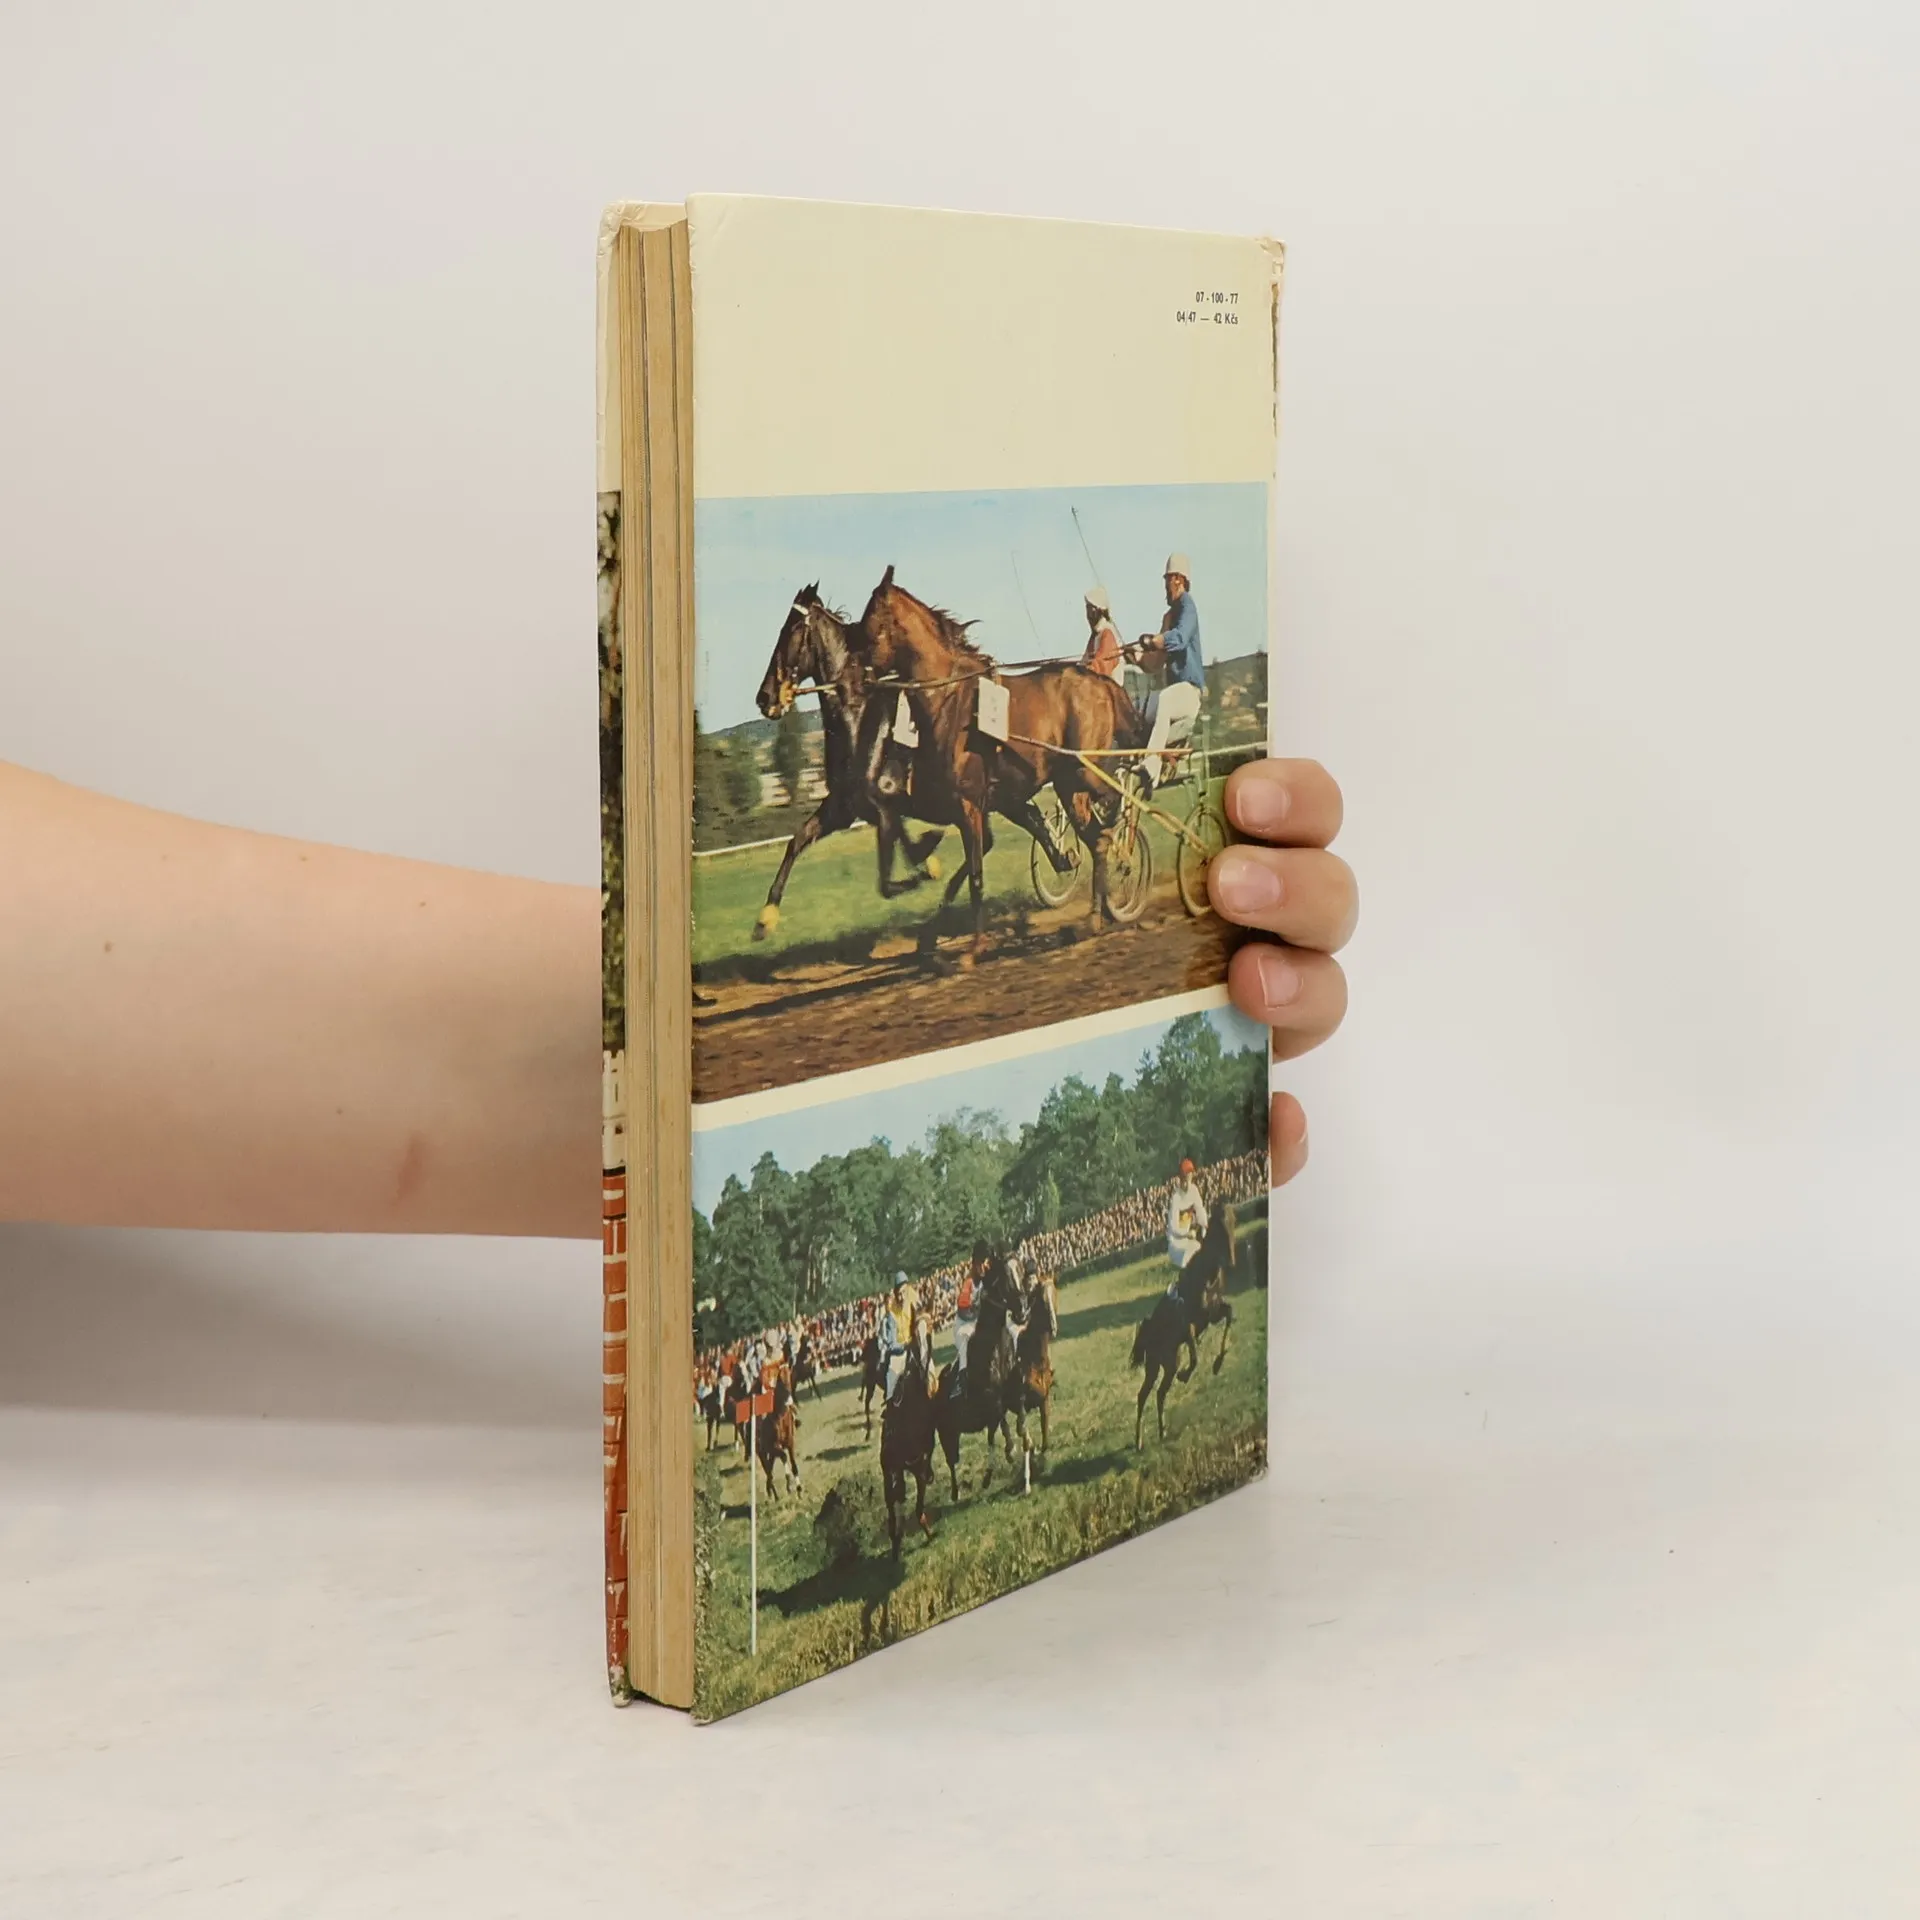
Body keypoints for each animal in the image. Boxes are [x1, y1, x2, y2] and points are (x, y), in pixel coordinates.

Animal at [750, 585, 946, 938]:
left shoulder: (882, 805)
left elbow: (890, 876)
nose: (765, 697)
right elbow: (796, 842)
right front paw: (766, 917)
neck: (856, 722)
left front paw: (928, 863)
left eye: (790, 630)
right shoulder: (845, 807)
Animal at [857, 568, 1149, 956]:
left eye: (870, 622)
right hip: (1068, 784)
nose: (859, 679)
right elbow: (961, 870)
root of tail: (1100, 683)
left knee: (1112, 804)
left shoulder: (969, 804)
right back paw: (1094, 918)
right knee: (1096, 838)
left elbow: (976, 875)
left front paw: (974, 947)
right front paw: (931, 933)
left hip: (1083, 770)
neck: (950, 700)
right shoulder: (967, 804)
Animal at [1130, 1204, 1239, 1447]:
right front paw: (1186, 1375)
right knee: (1143, 1394)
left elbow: (1228, 1314)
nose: (1231, 1260)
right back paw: (1139, 1440)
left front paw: (1218, 1363)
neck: (1205, 1276)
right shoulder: (1188, 1326)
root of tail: (1147, 1328)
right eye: (1219, 1224)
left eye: (1233, 1221)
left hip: (1169, 1362)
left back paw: (1162, 1432)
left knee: (1160, 1393)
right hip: (1154, 1365)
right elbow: (1195, 1357)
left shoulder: (1212, 1315)